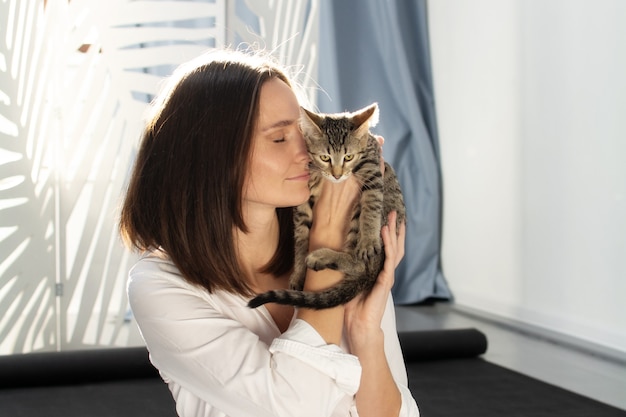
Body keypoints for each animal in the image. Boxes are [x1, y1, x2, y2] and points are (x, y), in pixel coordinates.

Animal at [246, 101, 402, 308]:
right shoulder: (303, 202)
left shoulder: (373, 171)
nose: (337, 175)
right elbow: (301, 239)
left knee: (360, 265)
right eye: (325, 158)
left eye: (349, 157)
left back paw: (324, 256)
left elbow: (372, 204)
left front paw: (368, 240)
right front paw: (298, 273)